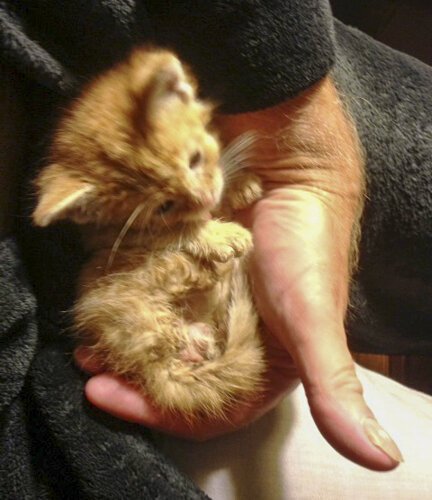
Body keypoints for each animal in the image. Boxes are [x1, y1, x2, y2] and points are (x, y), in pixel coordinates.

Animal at [32, 47, 264, 416]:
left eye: (195, 159)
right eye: (164, 207)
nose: (205, 198)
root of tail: (150, 367)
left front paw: (239, 185)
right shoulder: (118, 236)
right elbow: (175, 231)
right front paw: (218, 234)